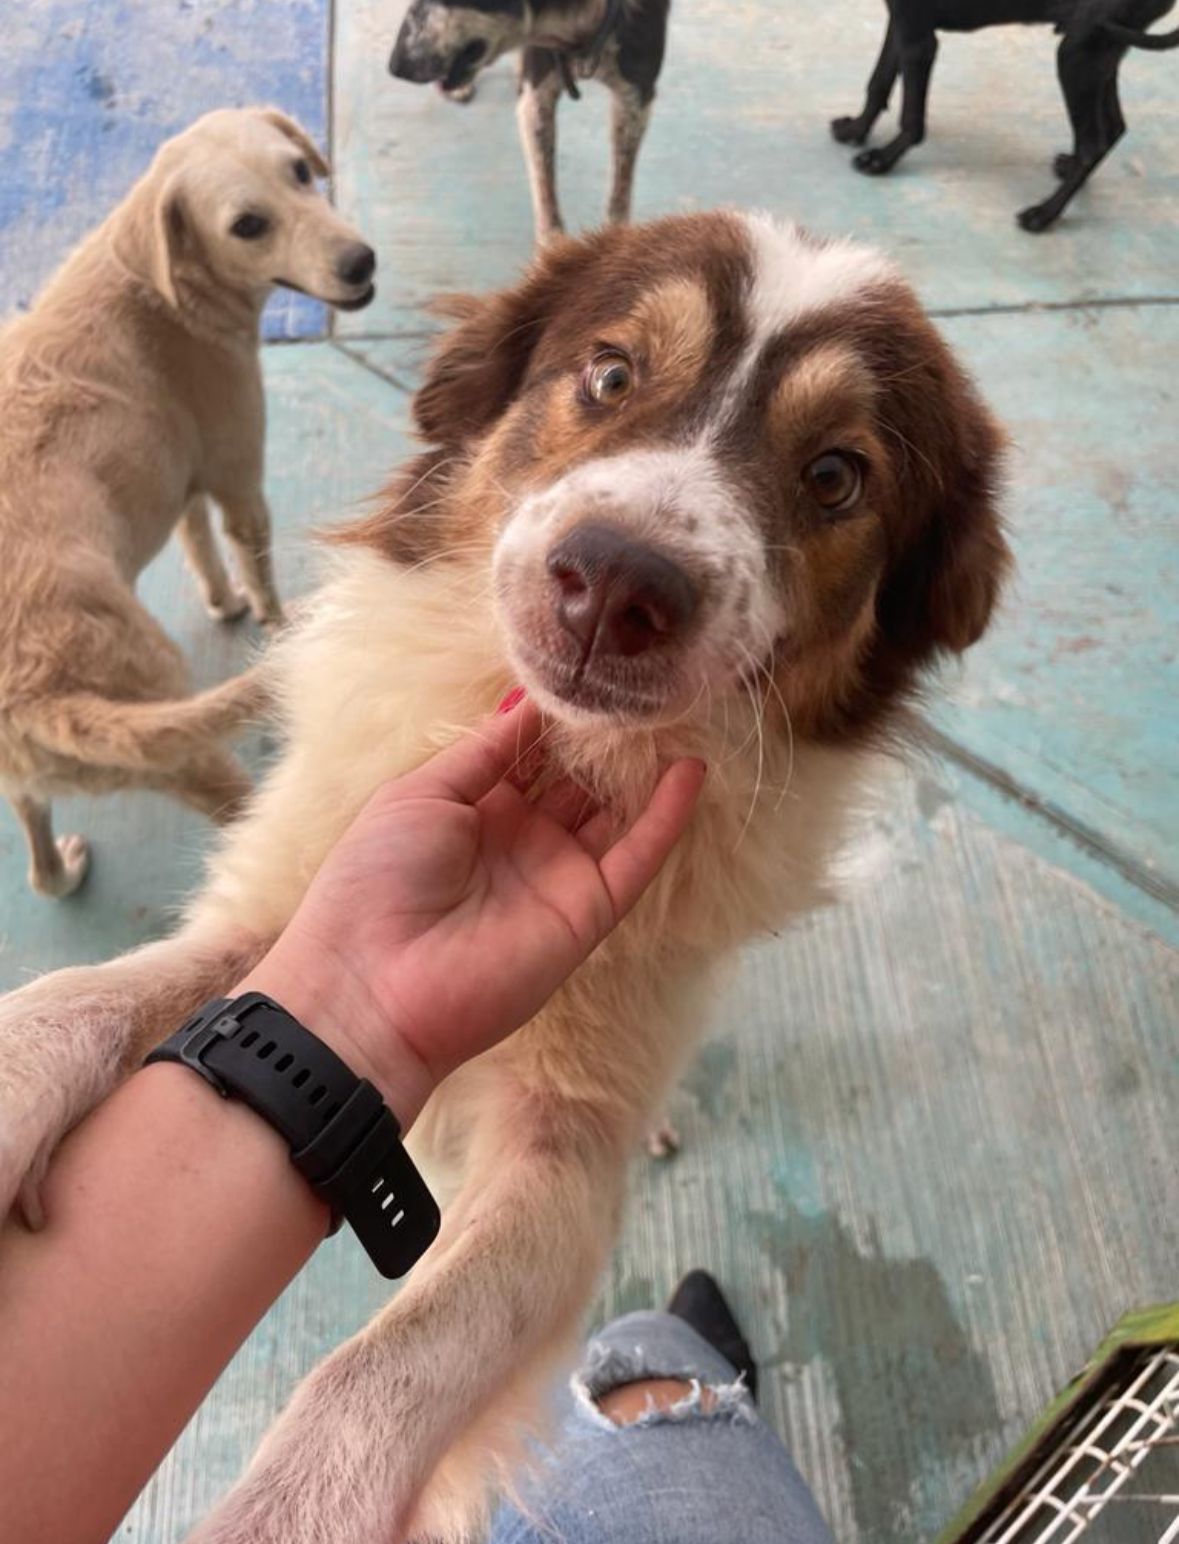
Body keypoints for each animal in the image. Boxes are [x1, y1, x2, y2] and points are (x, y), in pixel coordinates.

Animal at [0, 108, 374, 901]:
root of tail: (37, 698)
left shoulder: (184, 484)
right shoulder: (240, 482)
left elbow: (200, 546)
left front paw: (222, 603)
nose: (361, 262)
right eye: (247, 225)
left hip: (26, 782)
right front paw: (268, 620)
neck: (159, 286)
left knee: (39, 862)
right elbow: (259, 571)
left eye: (301, 170)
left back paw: (62, 870)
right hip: (188, 755)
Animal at [827, 0, 1179, 230]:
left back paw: (1043, 214)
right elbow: (878, 82)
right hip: (1102, 50)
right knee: (1113, 128)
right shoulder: (901, 21)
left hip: (1078, 53)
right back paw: (1067, 173)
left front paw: (883, 160)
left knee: (1092, 144)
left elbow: (911, 119)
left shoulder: (919, 37)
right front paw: (856, 131)